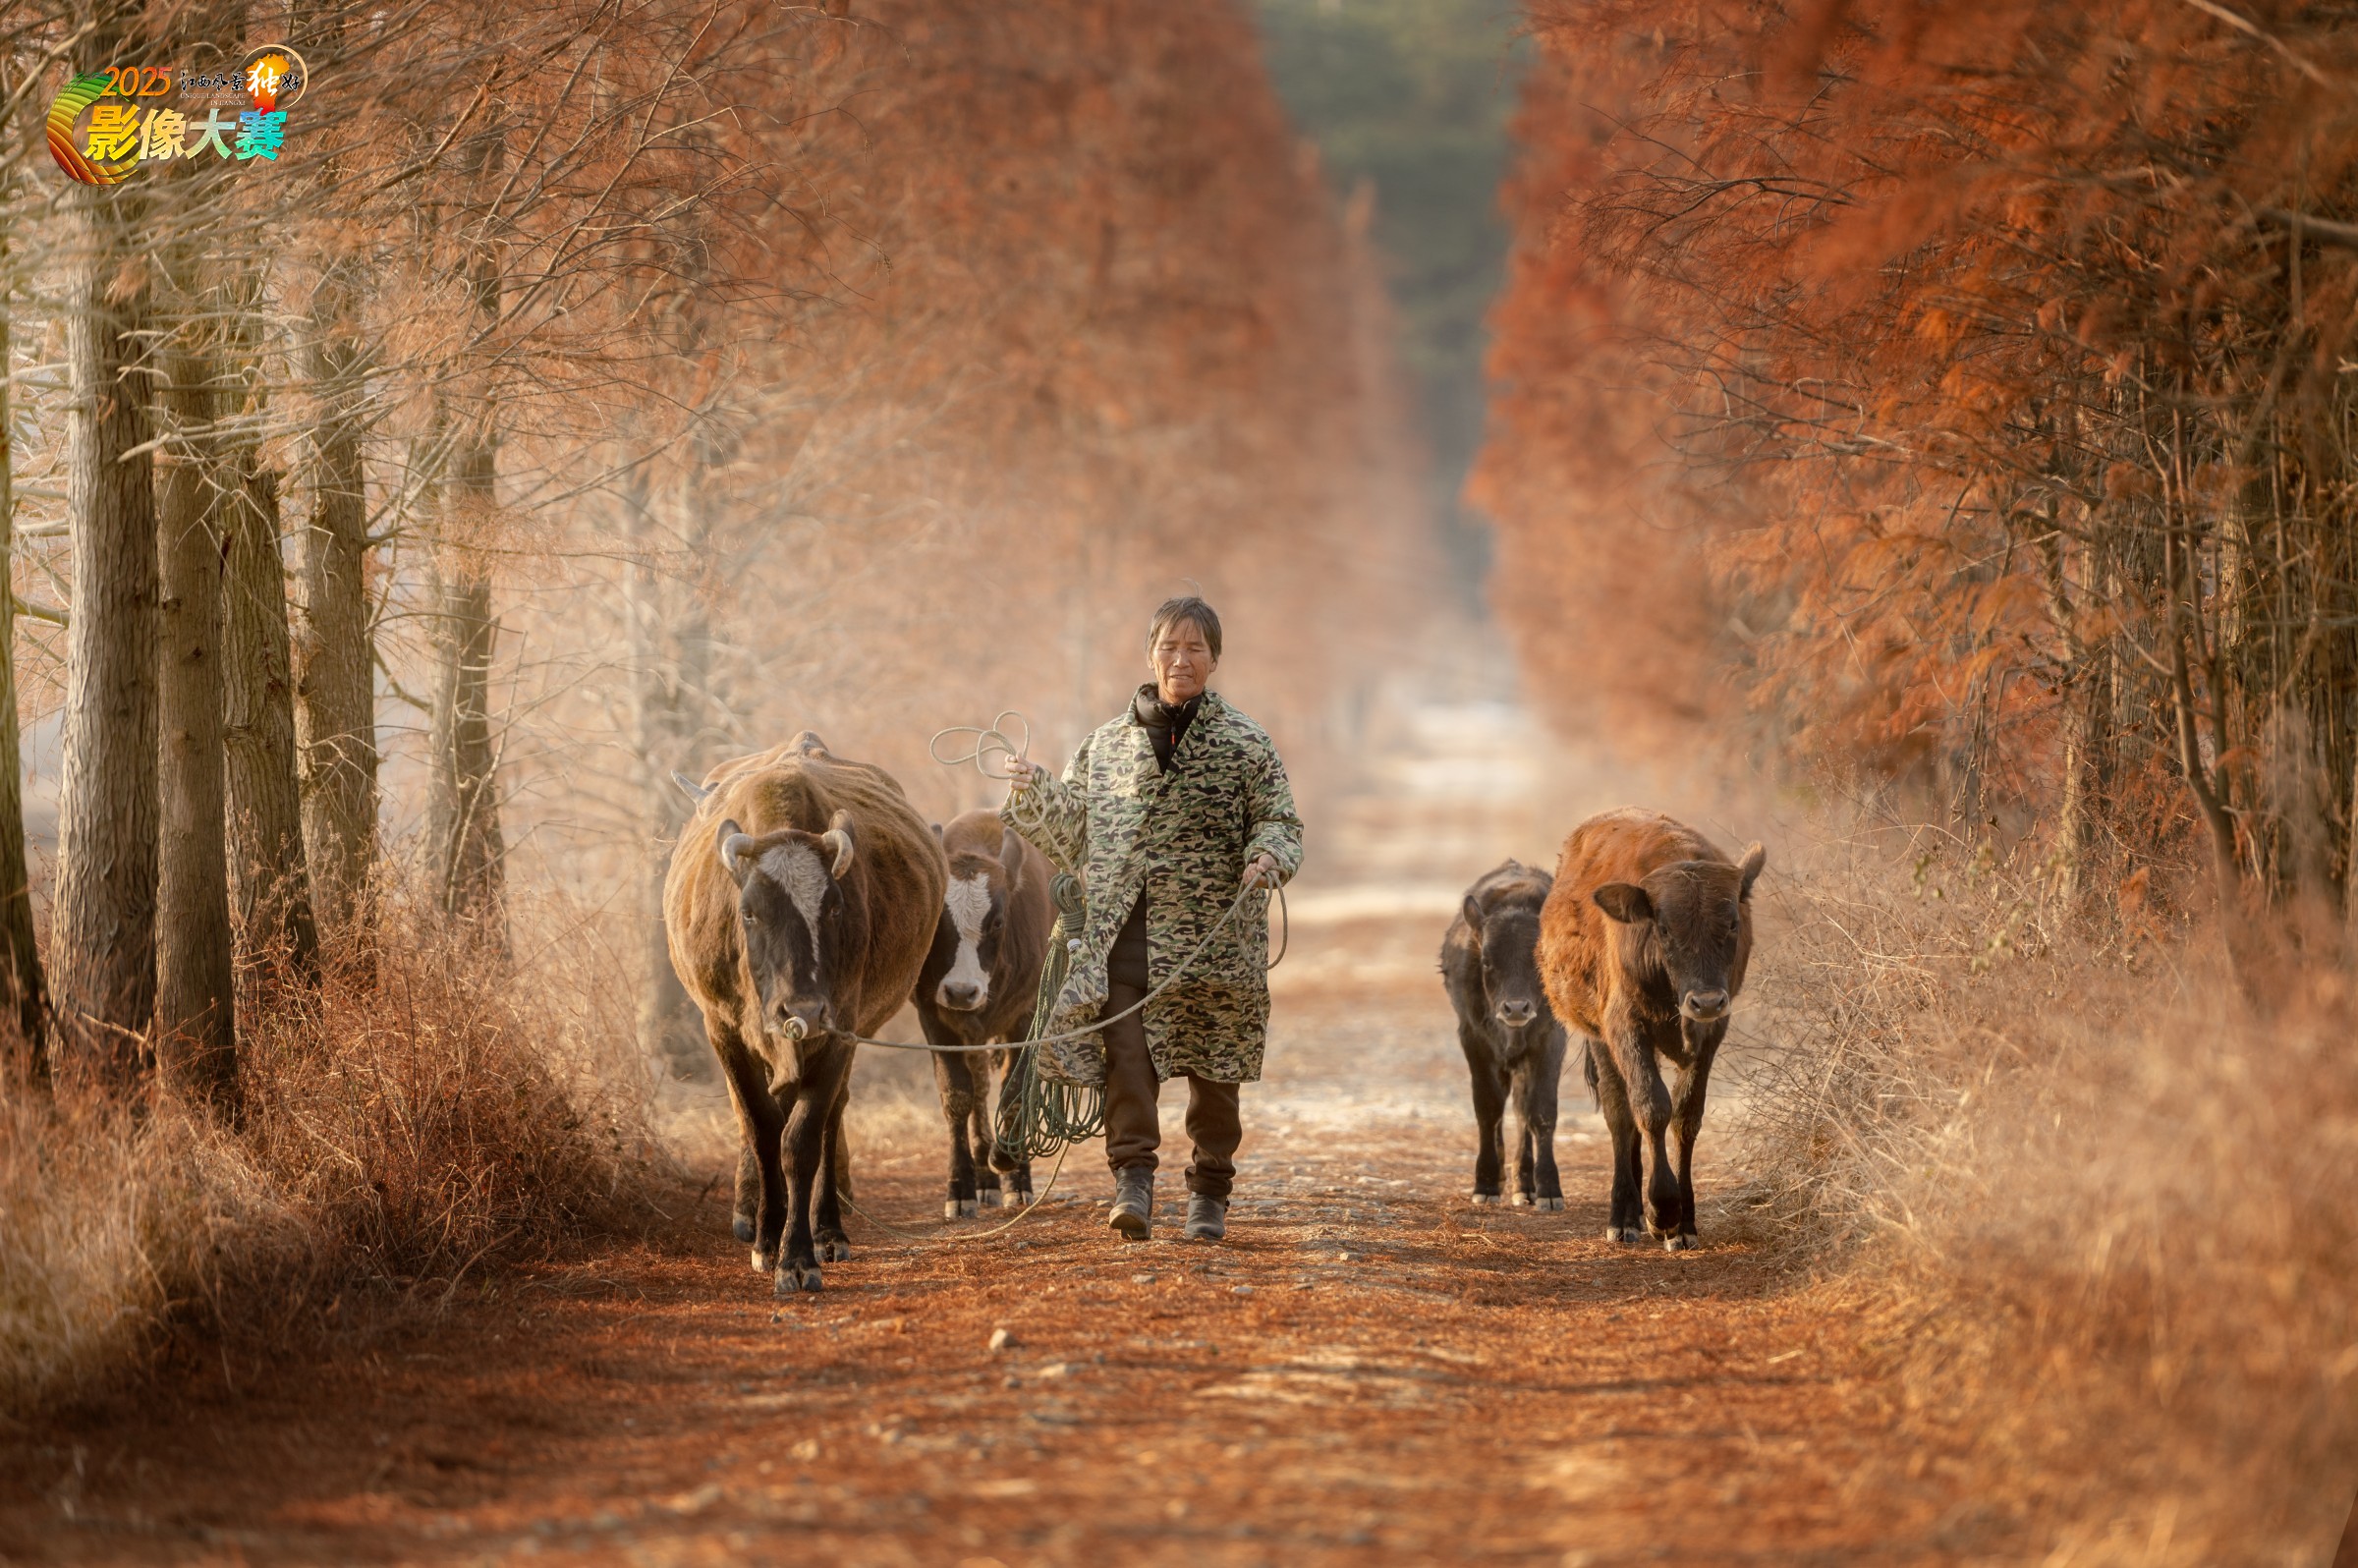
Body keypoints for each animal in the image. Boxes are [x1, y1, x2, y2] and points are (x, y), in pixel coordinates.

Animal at [665, 732, 946, 1293]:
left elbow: (800, 1141)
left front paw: (798, 1254)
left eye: (835, 908)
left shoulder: (840, 1031)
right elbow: (760, 1128)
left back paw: (828, 1227)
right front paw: (767, 1239)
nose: (803, 1008)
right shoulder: (723, 1029)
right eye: (748, 912)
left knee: (830, 1118)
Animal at [913, 810, 1054, 1218]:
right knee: (977, 1088)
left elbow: (1015, 1089)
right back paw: (984, 1179)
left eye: (997, 922)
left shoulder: (1027, 1015)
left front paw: (1010, 1164)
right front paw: (960, 1186)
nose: (962, 991)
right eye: (938, 922)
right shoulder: (932, 1014)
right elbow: (957, 1094)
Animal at [1440, 860, 1570, 1210]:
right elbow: (1488, 1107)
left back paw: (1525, 1184)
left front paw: (1549, 1189)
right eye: (1487, 961)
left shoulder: (1551, 1040)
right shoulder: (1473, 1039)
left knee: (1523, 1109)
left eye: (1538, 959)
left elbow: (1541, 1111)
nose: (1515, 1008)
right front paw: (1485, 1183)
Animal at [1536, 808, 1764, 1251]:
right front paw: (1662, 1210)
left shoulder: (1712, 1033)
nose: (1706, 1001)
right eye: (1664, 929)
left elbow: (1685, 1116)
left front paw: (1685, 1223)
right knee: (1620, 1114)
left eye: (1732, 924)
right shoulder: (1625, 1025)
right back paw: (1624, 1216)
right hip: (1599, 1037)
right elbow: (1651, 1108)